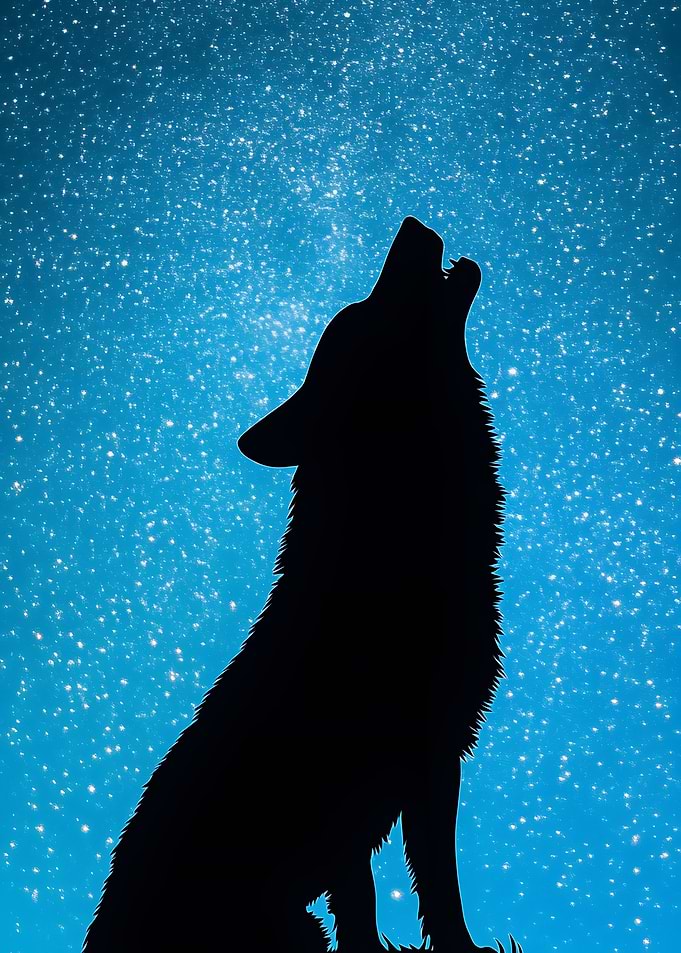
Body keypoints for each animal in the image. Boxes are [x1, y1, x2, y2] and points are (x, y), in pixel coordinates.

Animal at [83, 216, 517, 952]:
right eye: (363, 312)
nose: (409, 224)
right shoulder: (419, 762)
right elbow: (431, 884)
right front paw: (458, 947)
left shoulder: (390, 789)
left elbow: (382, 898)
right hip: (286, 924)